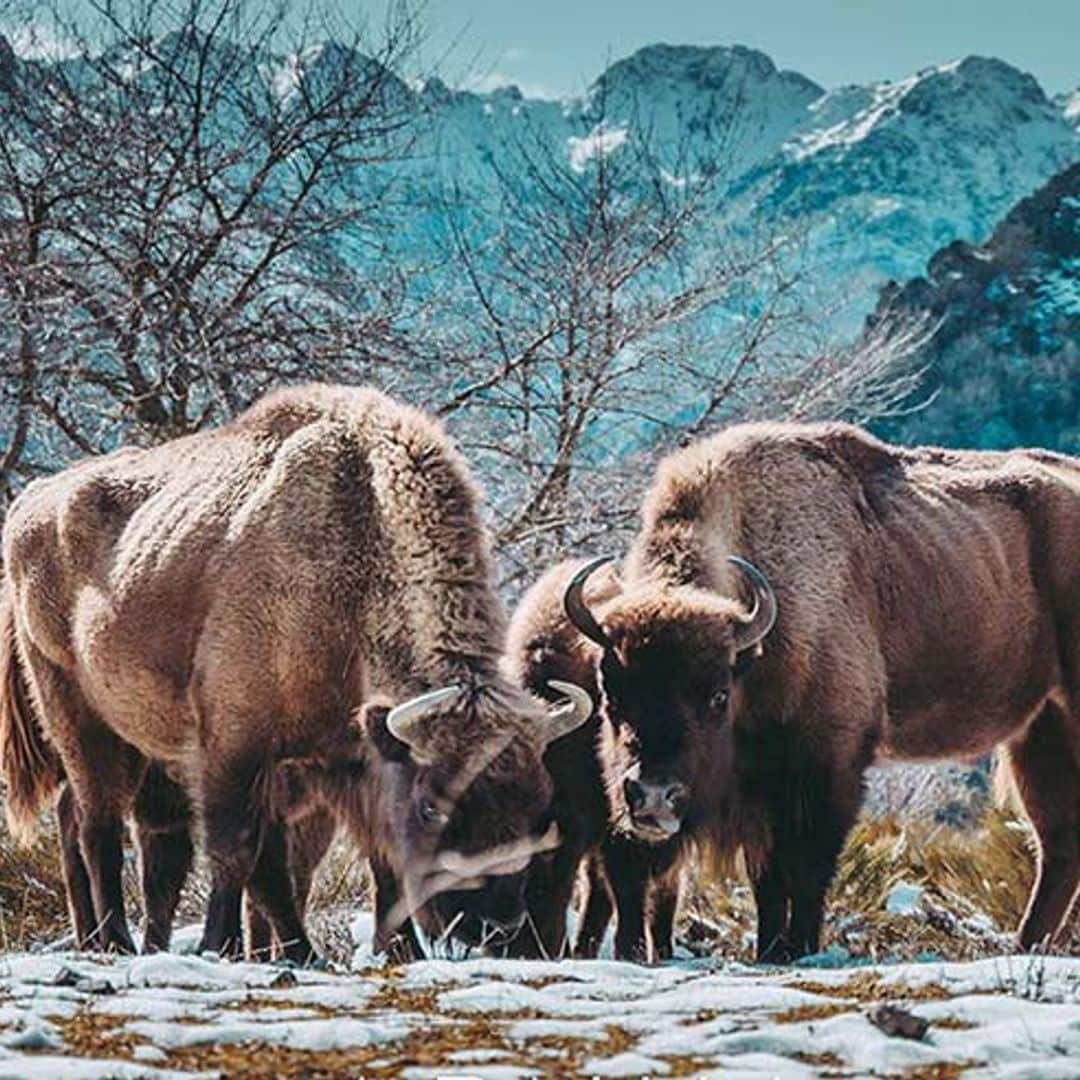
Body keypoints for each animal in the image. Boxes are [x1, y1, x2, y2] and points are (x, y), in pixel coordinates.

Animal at [0, 384, 591, 959]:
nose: (497, 925)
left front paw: (380, 951)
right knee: (98, 828)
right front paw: (227, 946)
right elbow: (240, 850)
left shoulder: (346, 758)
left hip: (136, 742)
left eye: (538, 805)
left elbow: (362, 860)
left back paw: (104, 940)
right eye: (431, 807)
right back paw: (116, 941)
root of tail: (31, 501)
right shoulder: (235, 745)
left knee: (101, 825)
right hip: (76, 716)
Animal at [570, 421, 1075, 963]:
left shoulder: (828, 764)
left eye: (717, 696)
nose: (653, 797)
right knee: (1059, 846)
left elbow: (807, 868)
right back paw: (1026, 946)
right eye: (610, 693)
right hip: (1040, 730)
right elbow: (767, 879)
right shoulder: (759, 790)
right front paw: (771, 949)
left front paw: (801, 947)